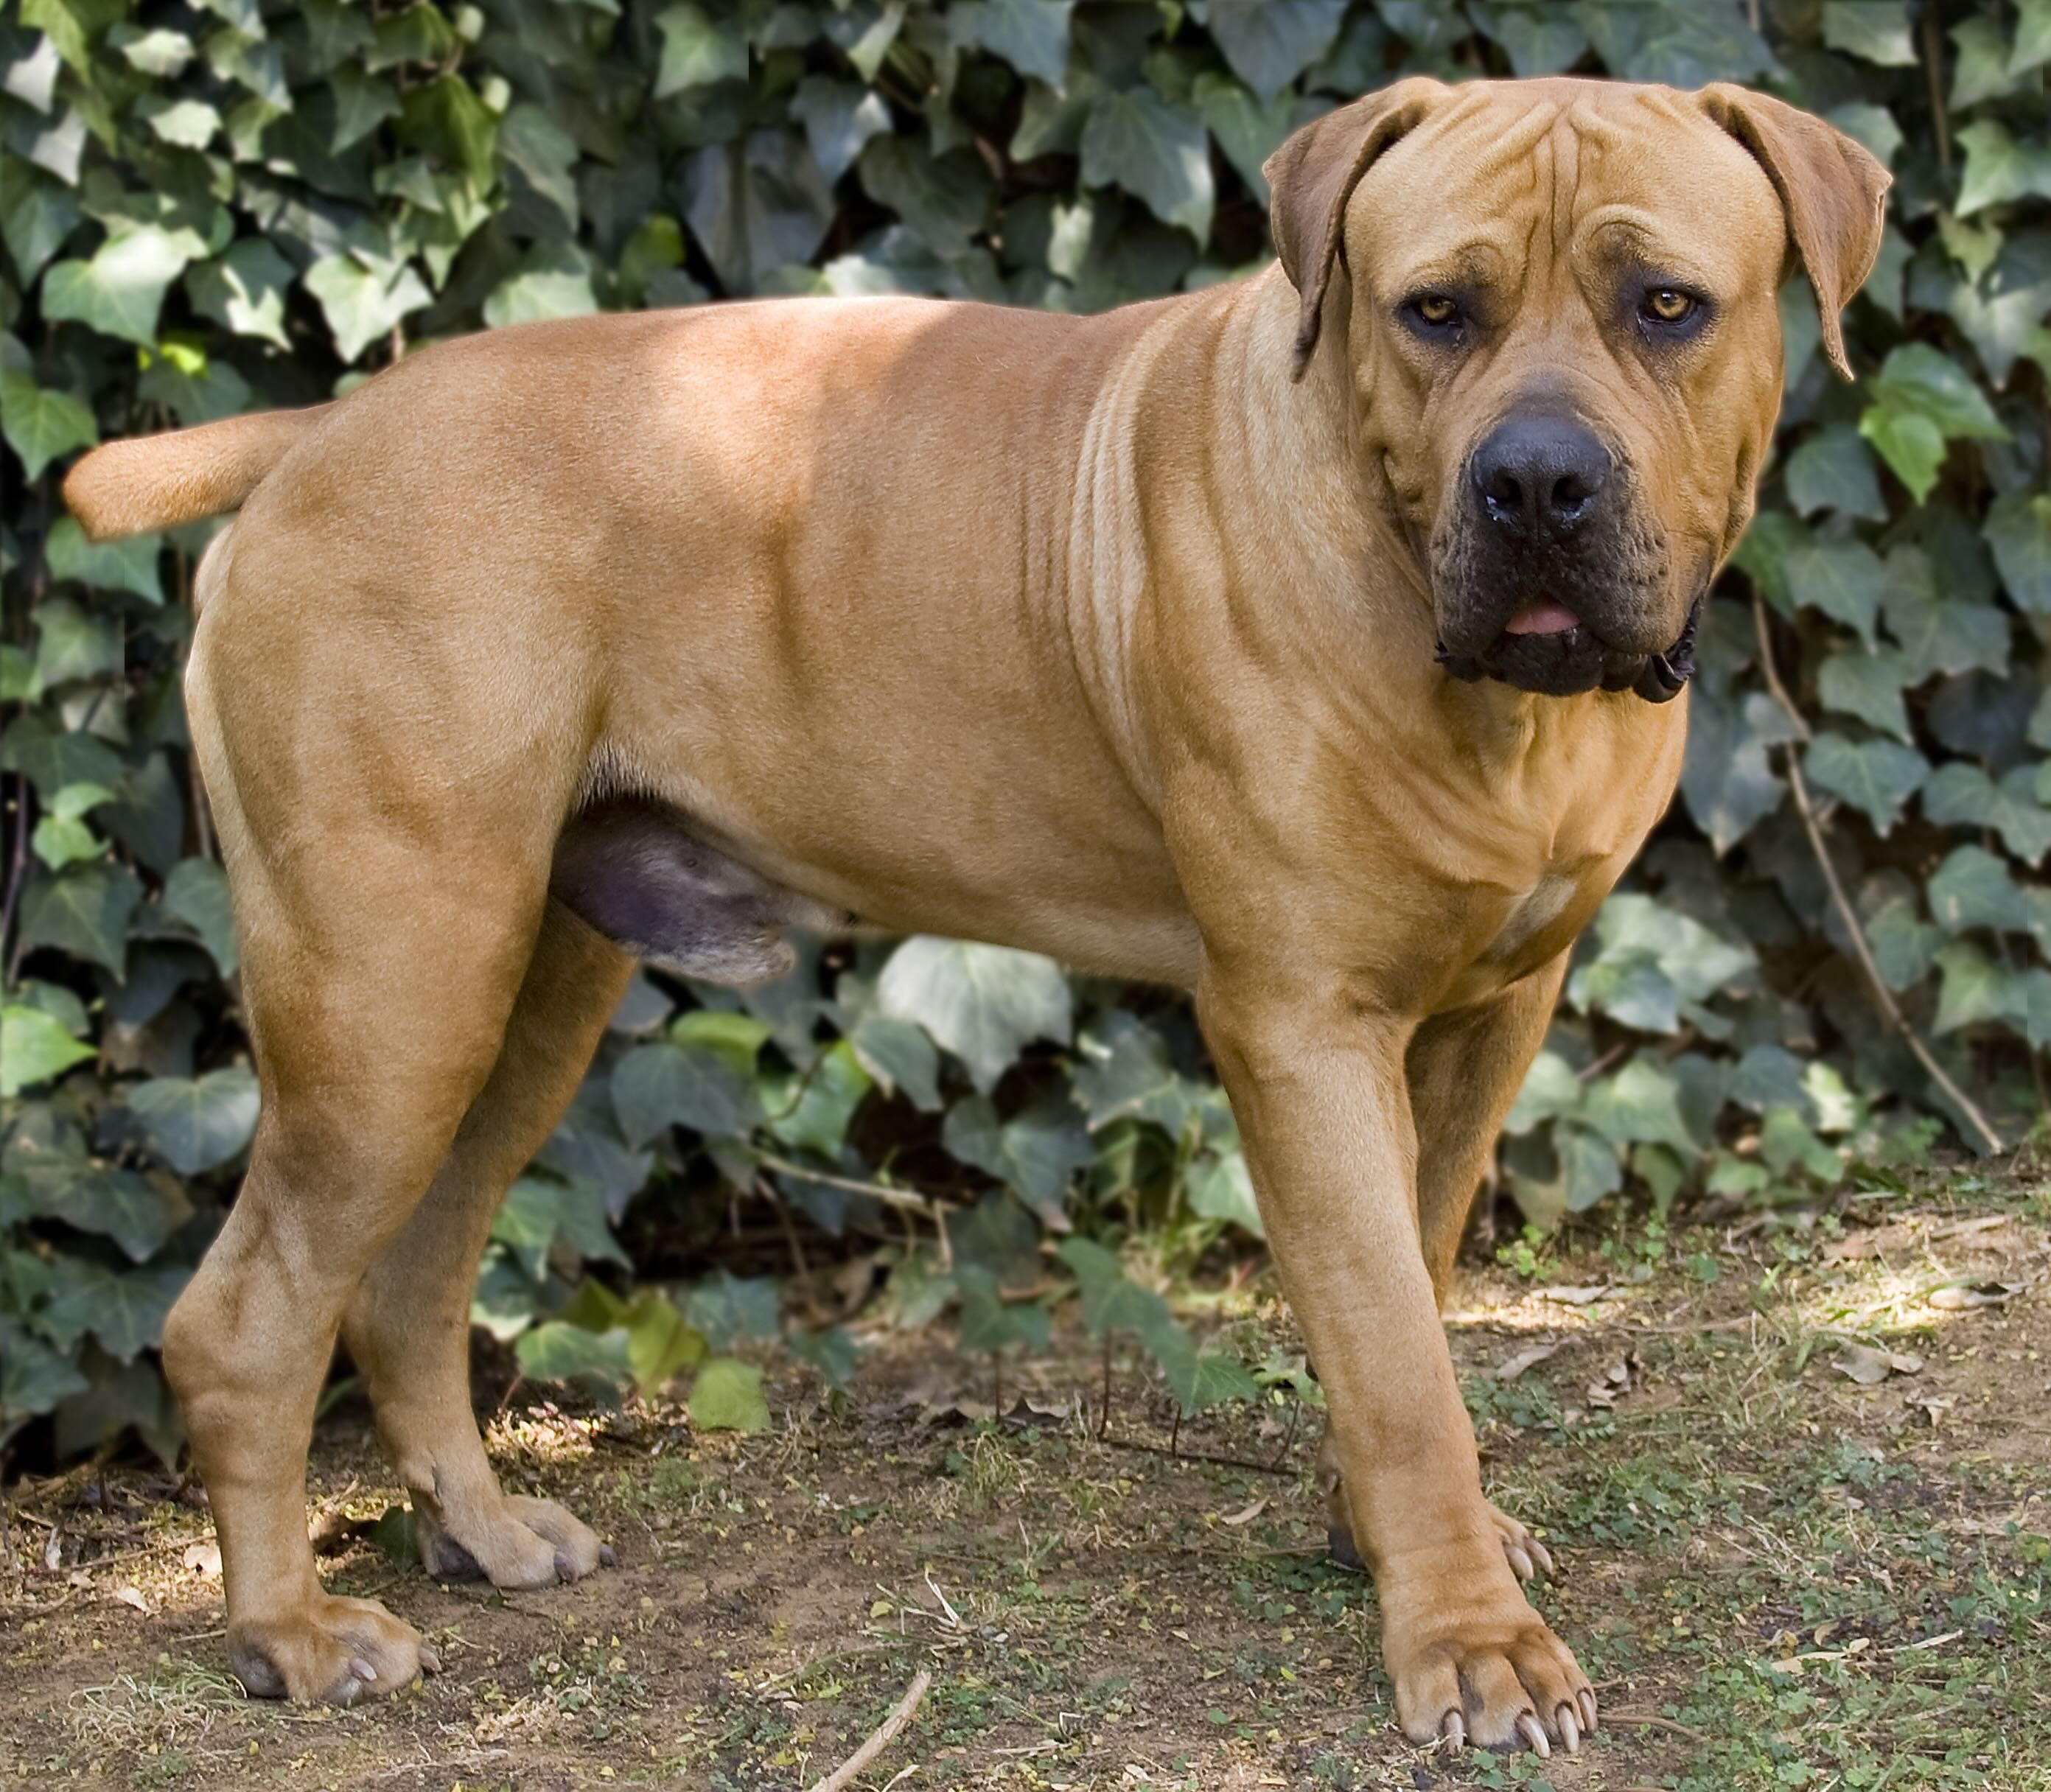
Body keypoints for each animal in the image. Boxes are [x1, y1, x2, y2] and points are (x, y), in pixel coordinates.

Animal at [72, 77, 1879, 1754]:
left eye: (1666, 306)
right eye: (1433, 310)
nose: (1534, 480)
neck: (1494, 701)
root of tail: (323, 430)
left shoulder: (1491, 1016)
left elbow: (1413, 1298)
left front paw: (1398, 1542)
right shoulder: (1298, 1028)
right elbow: (1388, 1344)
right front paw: (1463, 1632)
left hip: (520, 989)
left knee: (405, 1277)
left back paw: (481, 1529)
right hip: (390, 995)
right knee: (240, 1322)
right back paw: (290, 1634)